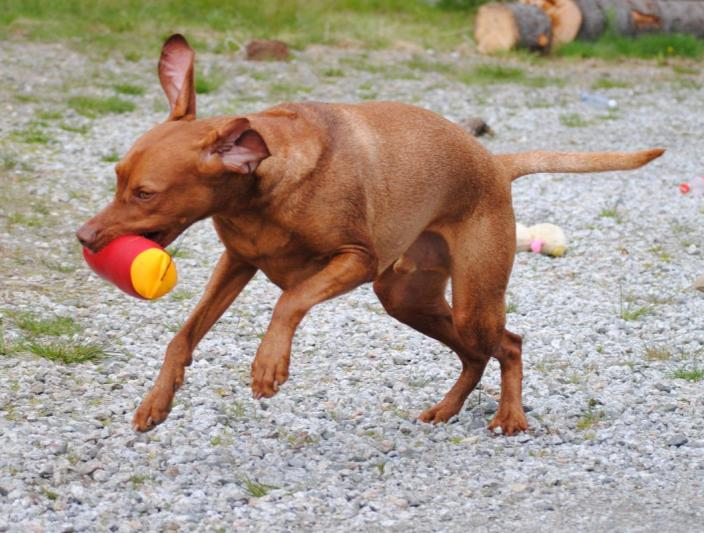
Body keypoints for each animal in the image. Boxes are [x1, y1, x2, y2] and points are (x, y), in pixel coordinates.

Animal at [77, 33, 664, 434]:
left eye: (145, 193)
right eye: (117, 177)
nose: (84, 236)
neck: (262, 190)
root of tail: (495, 164)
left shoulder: (356, 260)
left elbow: (289, 301)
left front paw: (269, 364)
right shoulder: (237, 263)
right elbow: (183, 335)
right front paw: (157, 401)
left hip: (471, 299)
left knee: (510, 344)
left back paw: (511, 416)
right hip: (405, 296)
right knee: (475, 355)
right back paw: (447, 409)